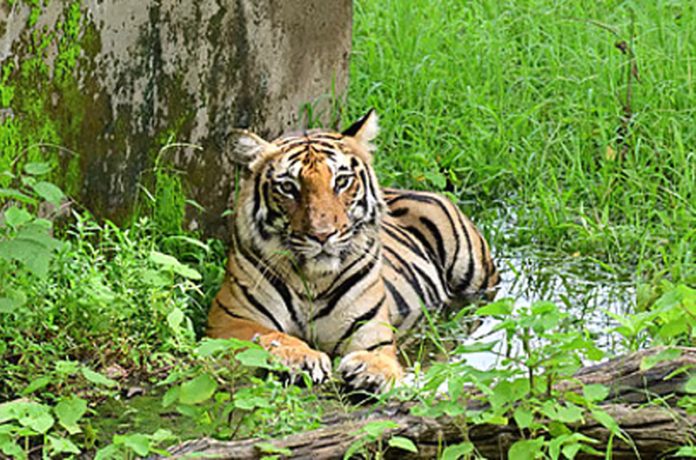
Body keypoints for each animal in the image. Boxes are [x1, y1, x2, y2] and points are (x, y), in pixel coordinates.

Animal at [207, 109, 499, 393]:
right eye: (288, 187)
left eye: (342, 181)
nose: (322, 234)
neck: (312, 279)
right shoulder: (229, 320)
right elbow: (270, 336)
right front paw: (302, 357)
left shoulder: (370, 327)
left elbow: (381, 354)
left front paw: (372, 370)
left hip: (474, 271)